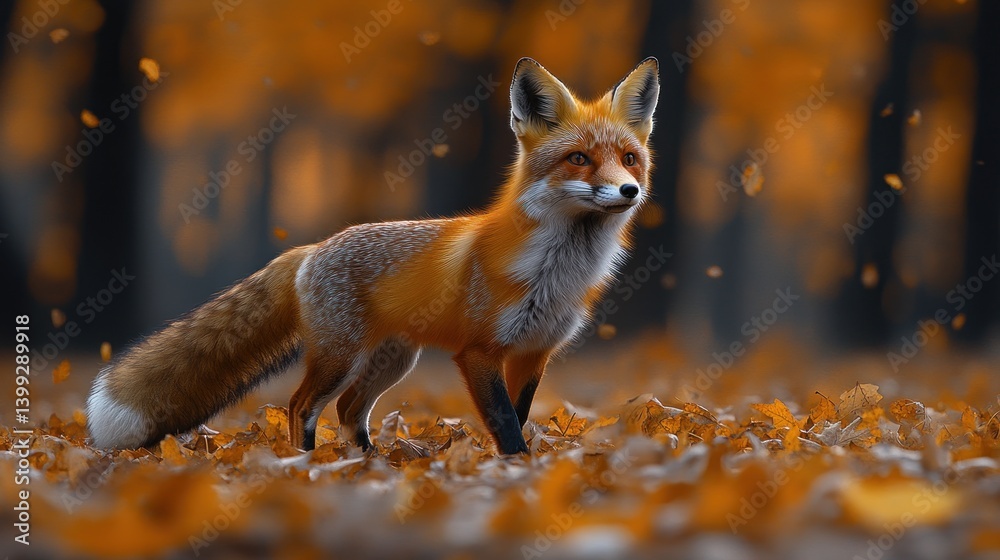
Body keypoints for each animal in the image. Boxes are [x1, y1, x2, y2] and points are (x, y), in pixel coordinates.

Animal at [87, 56, 660, 455]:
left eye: (629, 158)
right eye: (579, 159)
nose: (629, 190)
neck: (556, 271)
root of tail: (313, 249)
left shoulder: (534, 352)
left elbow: (516, 420)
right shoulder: (479, 352)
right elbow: (505, 426)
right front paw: (518, 471)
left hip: (392, 360)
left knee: (347, 410)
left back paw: (368, 465)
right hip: (340, 355)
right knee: (300, 405)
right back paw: (306, 466)